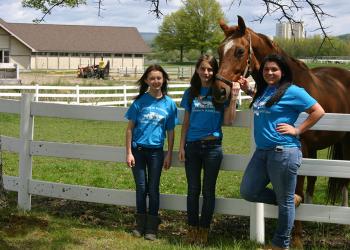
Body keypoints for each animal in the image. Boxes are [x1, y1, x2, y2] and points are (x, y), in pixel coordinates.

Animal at [213, 16, 350, 248]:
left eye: (239, 51)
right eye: (220, 50)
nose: (219, 92)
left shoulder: (301, 150)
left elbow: (295, 191)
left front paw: (297, 240)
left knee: (343, 181)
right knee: (316, 182)